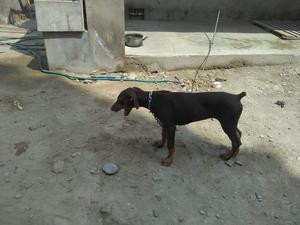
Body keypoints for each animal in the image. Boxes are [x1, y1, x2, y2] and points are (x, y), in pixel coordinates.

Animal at [110, 87, 246, 166]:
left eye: (120, 100)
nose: (111, 108)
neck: (152, 99)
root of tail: (237, 96)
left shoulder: (171, 127)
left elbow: (171, 146)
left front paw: (168, 160)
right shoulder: (164, 124)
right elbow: (163, 135)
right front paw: (160, 144)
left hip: (227, 124)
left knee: (236, 141)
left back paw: (227, 156)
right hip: (231, 123)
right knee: (239, 135)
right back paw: (234, 154)